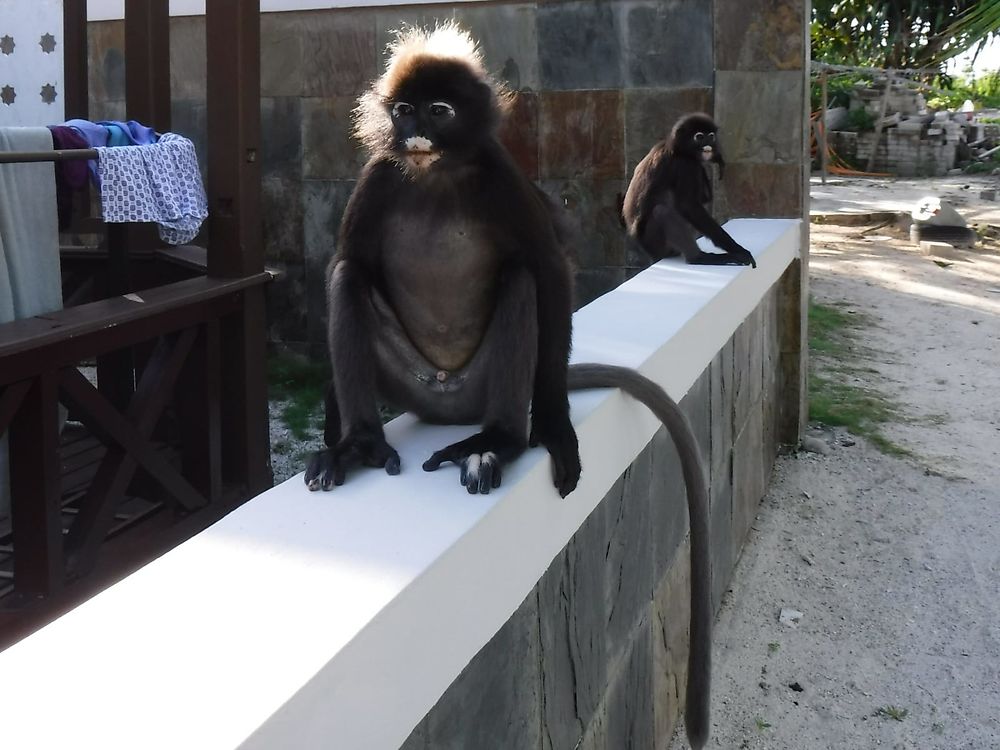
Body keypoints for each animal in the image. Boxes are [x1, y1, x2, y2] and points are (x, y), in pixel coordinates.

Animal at [302, 26, 712, 748]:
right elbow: (349, 261)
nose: (413, 131)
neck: (437, 174)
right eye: (403, 111)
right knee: (350, 276)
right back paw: (358, 443)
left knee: (521, 277)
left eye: (438, 111)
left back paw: (500, 440)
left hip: (486, 381)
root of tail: (445, 401)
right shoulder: (380, 176)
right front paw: (347, 440)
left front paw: (553, 427)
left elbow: (548, 268)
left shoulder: (499, 174)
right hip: (408, 378)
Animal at [624, 114, 756, 270]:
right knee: (662, 211)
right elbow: (688, 205)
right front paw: (738, 249)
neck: (678, 149)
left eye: (711, 136)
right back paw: (699, 258)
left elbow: (702, 199)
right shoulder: (685, 164)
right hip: (656, 243)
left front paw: (716, 157)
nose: (708, 145)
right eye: (699, 137)